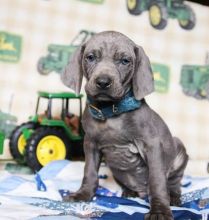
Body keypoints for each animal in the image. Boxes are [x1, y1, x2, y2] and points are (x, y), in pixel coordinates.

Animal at [61, 31, 189, 220]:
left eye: (125, 61)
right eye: (90, 57)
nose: (103, 82)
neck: (111, 112)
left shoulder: (152, 145)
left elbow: (157, 180)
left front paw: (159, 210)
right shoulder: (90, 144)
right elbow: (89, 172)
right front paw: (83, 194)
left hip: (178, 149)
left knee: (174, 182)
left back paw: (173, 197)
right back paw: (129, 192)